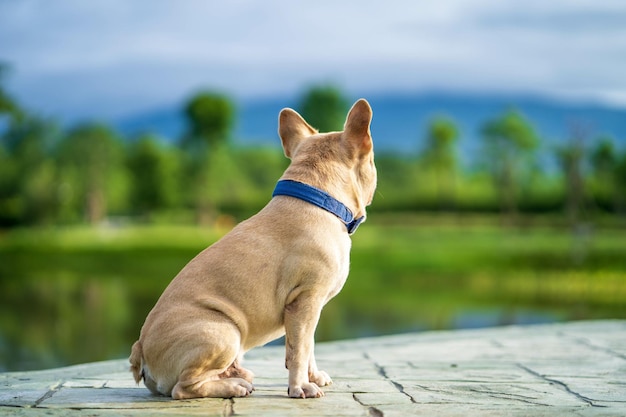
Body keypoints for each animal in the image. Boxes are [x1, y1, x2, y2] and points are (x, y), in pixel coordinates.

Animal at [128, 96, 376, 396]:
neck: (320, 198)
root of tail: (140, 350)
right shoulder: (306, 301)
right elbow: (300, 350)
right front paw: (300, 387)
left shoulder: (309, 308)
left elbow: (308, 346)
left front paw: (313, 377)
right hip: (223, 332)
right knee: (184, 388)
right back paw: (233, 386)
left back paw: (236, 375)